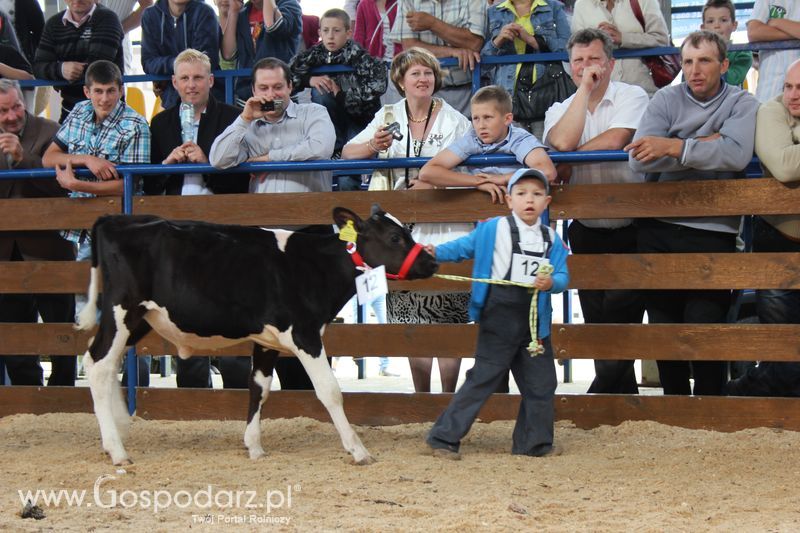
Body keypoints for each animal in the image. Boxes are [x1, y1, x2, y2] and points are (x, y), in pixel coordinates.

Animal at [76, 206, 438, 464]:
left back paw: (116, 432)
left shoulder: (268, 341)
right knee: (99, 365)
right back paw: (117, 450)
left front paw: (254, 446)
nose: (432, 261)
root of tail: (116, 219)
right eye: (394, 237)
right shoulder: (305, 334)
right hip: (123, 310)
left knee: (101, 363)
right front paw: (358, 450)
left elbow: (259, 388)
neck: (313, 265)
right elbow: (330, 391)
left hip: (140, 320)